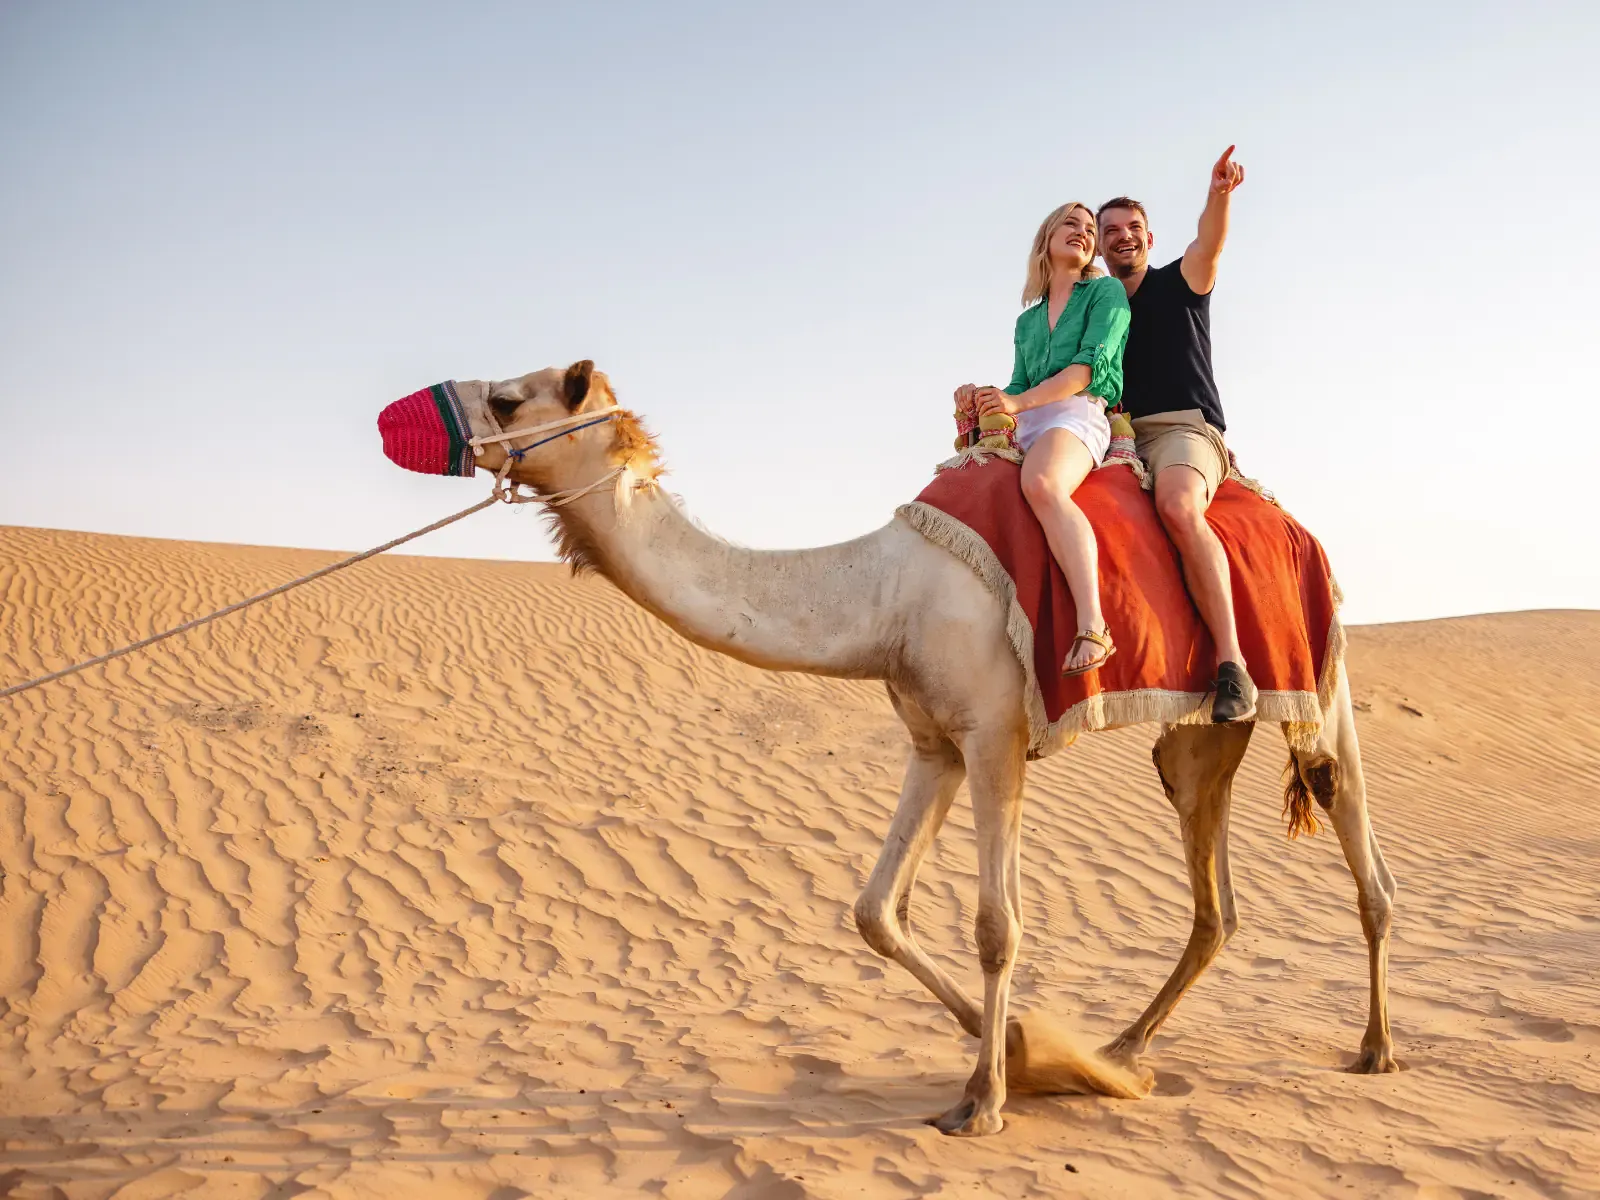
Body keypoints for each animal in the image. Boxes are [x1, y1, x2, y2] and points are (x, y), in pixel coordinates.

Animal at [473, 360, 1399, 1137]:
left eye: (511, 399)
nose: (465, 430)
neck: (885, 595)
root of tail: (1294, 524)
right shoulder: (935, 745)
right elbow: (875, 911)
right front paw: (1021, 1050)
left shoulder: (995, 735)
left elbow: (996, 925)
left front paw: (985, 1100)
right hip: (1201, 738)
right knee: (1215, 899)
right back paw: (1122, 1052)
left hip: (1321, 675)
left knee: (1358, 842)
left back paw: (1376, 1048)